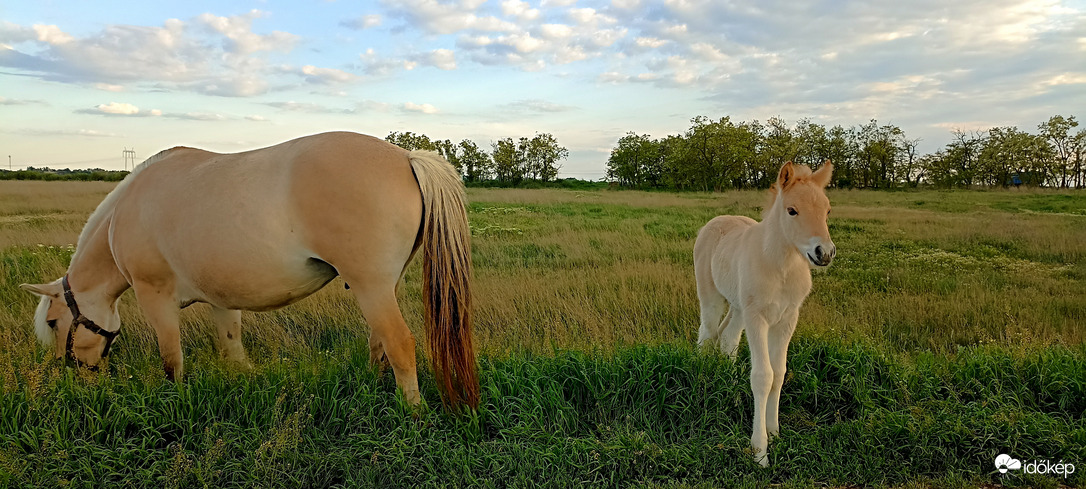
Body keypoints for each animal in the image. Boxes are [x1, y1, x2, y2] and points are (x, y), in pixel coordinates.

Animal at [20, 130, 480, 408]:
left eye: (56, 321)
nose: (79, 377)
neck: (125, 215)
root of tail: (406, 157)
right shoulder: (222, 300)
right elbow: (232, 351)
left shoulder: (155, 298)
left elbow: (172, 361)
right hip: (382, 288)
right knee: (380, 343)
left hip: (373, 287)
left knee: (400, 344)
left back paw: (412, 414)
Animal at [690, 160, 834, 465]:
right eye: (792, 210)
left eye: (827, 210)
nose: (824, 253)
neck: (781, 268)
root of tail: (716, 221)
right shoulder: (758, 318)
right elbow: (762, 376)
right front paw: (760, 451)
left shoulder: (787, 319)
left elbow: (779, 373)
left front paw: (774, 431)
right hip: (712, 297)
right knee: (707, 334)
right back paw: (705, 383)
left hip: (739, 307)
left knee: (728, 340)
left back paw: (731, 390)